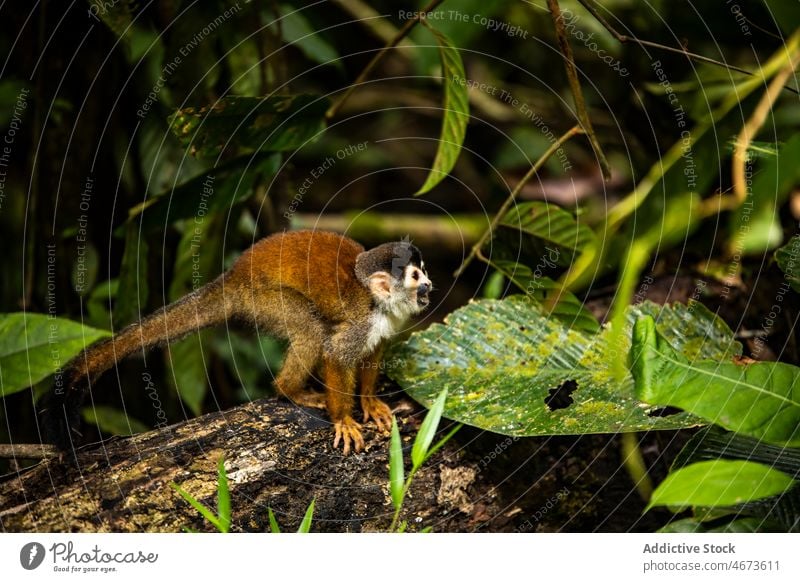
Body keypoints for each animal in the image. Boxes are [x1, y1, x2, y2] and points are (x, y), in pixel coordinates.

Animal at [45, 232, 432, 456]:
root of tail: (232, 277)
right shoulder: (361, 320)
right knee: (310, 330)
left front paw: (368, 403)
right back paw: (288, 390)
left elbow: (374, 351)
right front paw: (344, 420)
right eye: (415, 276)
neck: (378, 302)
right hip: (265, 299)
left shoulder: (384, 323)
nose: (429, 285)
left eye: (424, 270)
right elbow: (335, 353)